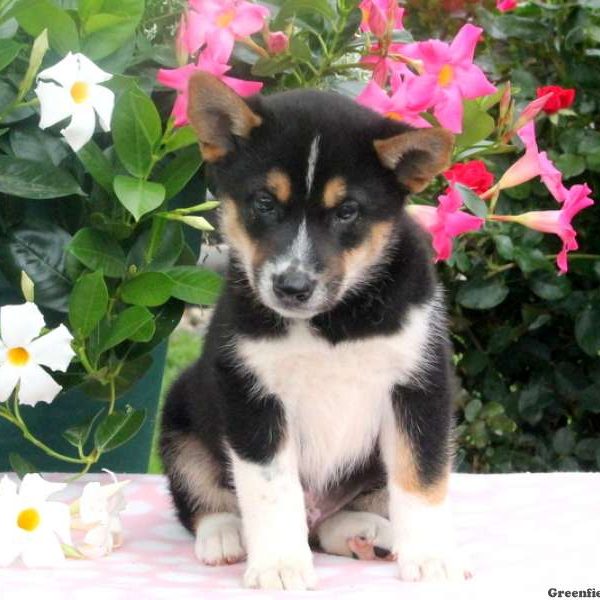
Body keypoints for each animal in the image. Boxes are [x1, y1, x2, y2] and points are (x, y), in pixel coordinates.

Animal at [161, 71, 468, 592]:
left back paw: (367, 533)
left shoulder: (420, 384)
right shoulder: (251, 392)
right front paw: (280, 566)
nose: (292, 286)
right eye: (265, 203)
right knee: (202, 499)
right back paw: (225, 536)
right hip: (180, 417)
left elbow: (421, 480)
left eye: (347, 211)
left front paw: (431, 559)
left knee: (336, 521)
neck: (333, 322)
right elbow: (271, 490)